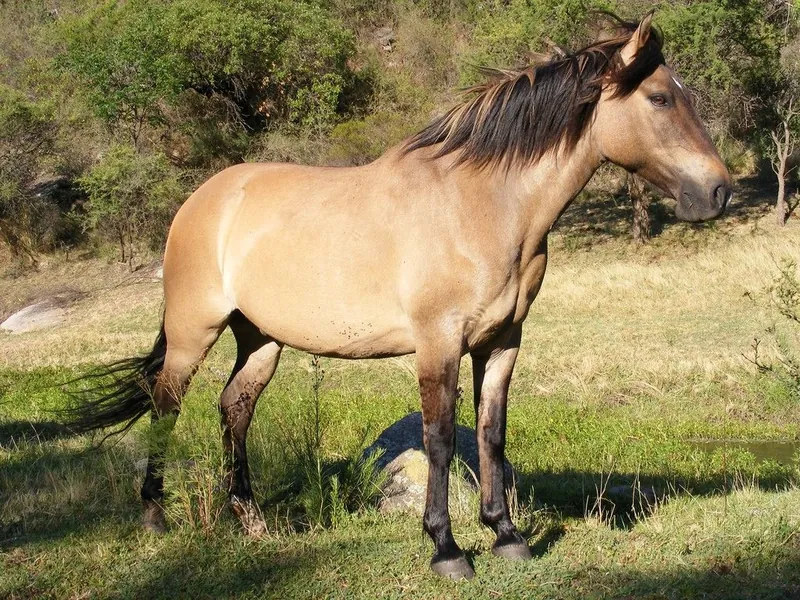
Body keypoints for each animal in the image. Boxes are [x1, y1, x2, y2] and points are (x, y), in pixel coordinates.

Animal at [64, 13, 731, 581]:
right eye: (660, 98)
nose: (718, 191)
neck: (482, 206)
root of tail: (203, 198)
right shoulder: (438, 341)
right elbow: (438, 438)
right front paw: (447, 549)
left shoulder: (502, 341)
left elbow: (490, 433)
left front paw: (507, 535)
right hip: (193, 330)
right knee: (166, 404)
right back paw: (155, 515)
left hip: (261, 340)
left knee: (234, 408)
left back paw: (252, 522)